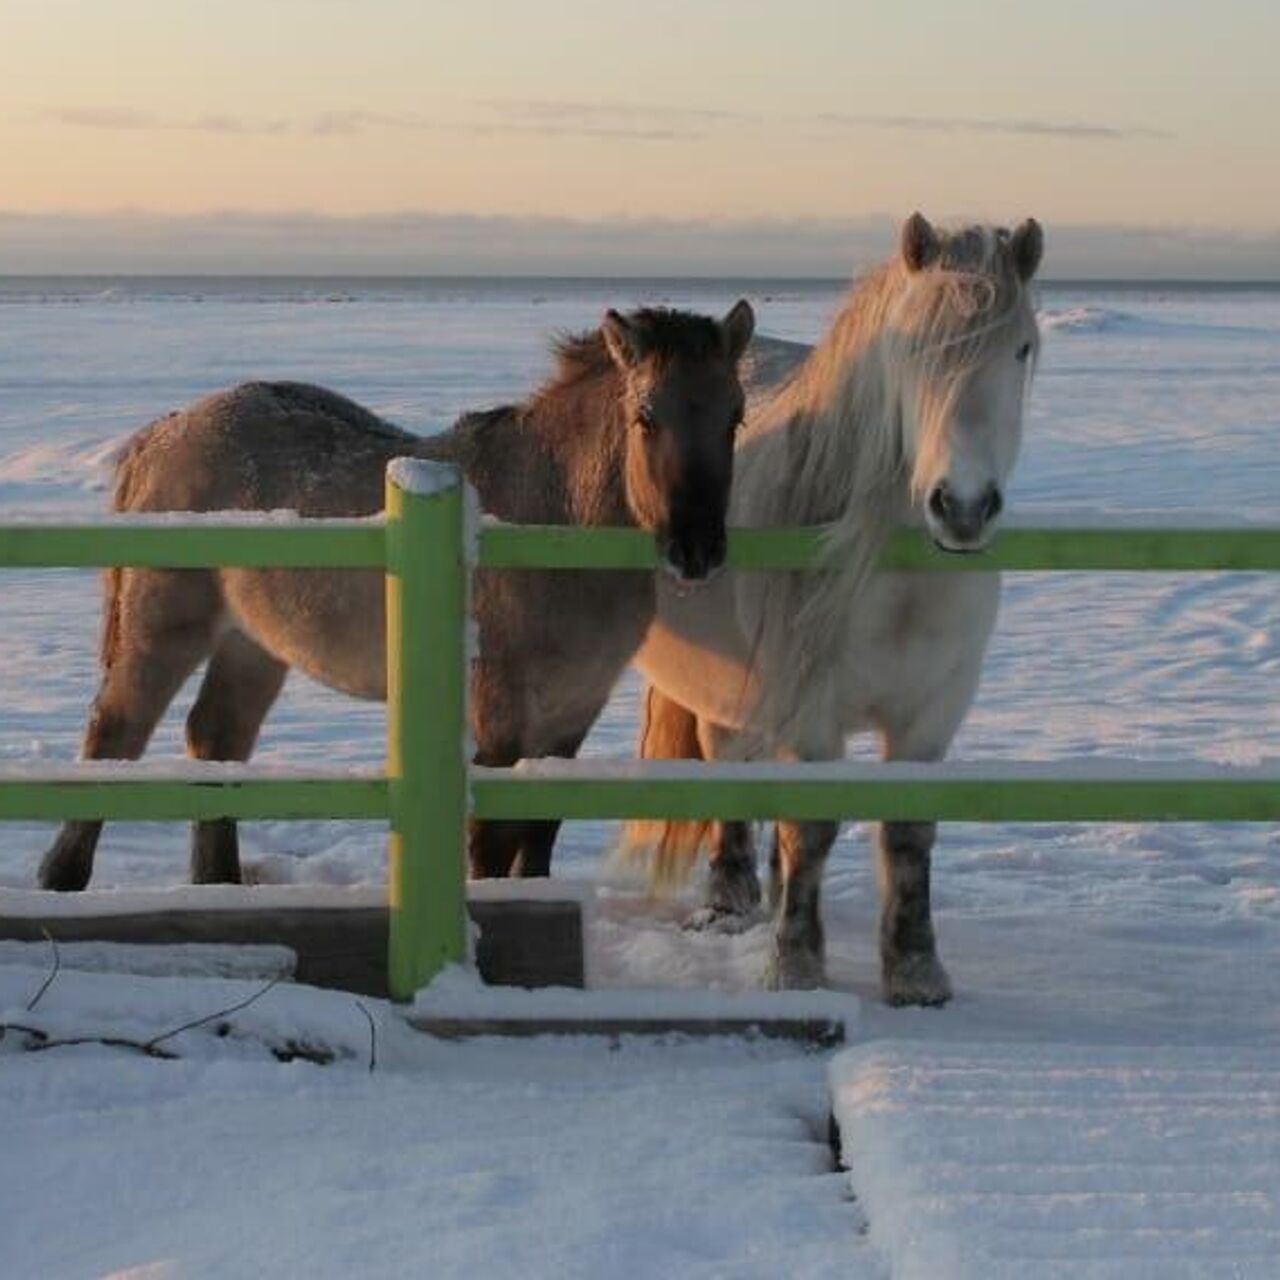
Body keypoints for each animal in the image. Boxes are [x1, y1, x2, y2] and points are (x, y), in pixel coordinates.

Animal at [42, 304, 747, 896]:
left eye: (733, 417)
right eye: (645, 417)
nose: (696, 550)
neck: (549, 520)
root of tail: (162, 433)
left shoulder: (572, 715)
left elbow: (540, 835)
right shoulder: (499, 718)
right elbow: (491, 845)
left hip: (255, 645)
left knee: (216, 736)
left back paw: (219, 883)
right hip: (163, 631)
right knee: (115, 735)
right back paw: (63, 879)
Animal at [627, 215, 1039, 1003]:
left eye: (1024, 347)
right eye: (911, 347)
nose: (963, 507)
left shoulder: (931, 714)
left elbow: (908, 835)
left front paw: (915, 972)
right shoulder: (811, 705)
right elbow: (811, 826)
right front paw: (794, 964)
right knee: (730, 769)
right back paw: (730, 906)